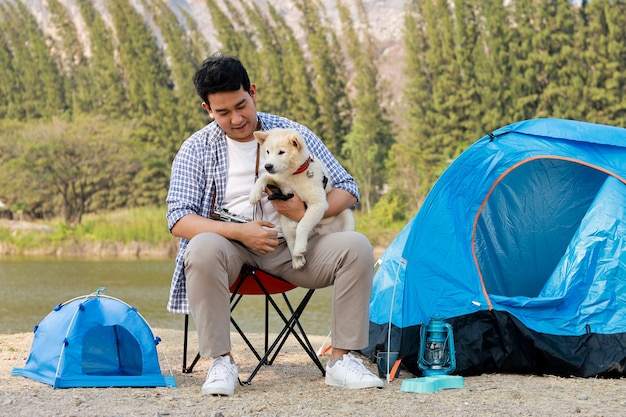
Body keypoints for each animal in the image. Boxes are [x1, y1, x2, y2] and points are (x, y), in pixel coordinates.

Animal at [250, 127, 356, 270]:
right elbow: (264, 177)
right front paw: (254, 193)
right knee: (290, 241)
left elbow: (303, 225)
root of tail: (317, 232)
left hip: (345, 215)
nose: (268, 166)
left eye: (281, 152)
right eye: (267, 151)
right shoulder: (280, 181)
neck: (293, 174)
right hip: (285, 223)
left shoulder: (318, 203)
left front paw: (300, 248)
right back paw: (297, 260)